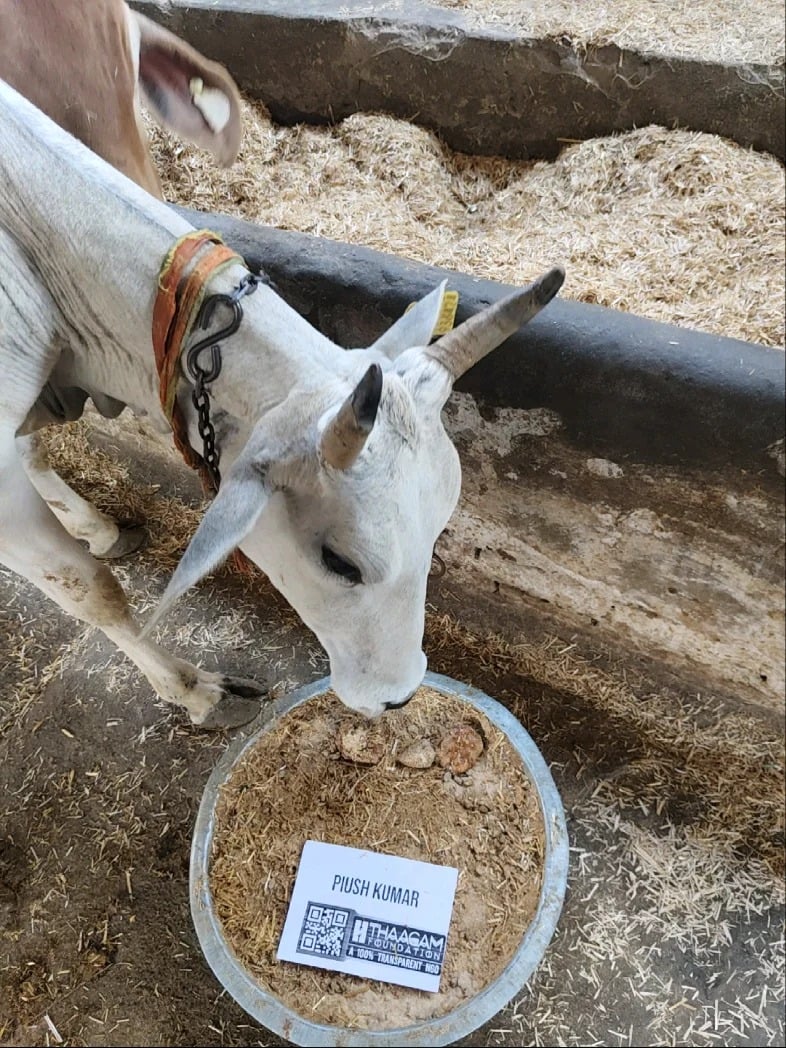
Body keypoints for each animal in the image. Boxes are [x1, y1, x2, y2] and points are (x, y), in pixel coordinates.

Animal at [1, 79, 564, 728]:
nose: (398, 696)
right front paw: (198, 691)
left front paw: (94, 526)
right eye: (341, 563)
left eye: (439, 526)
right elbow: (90, 590)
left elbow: (36, 457)